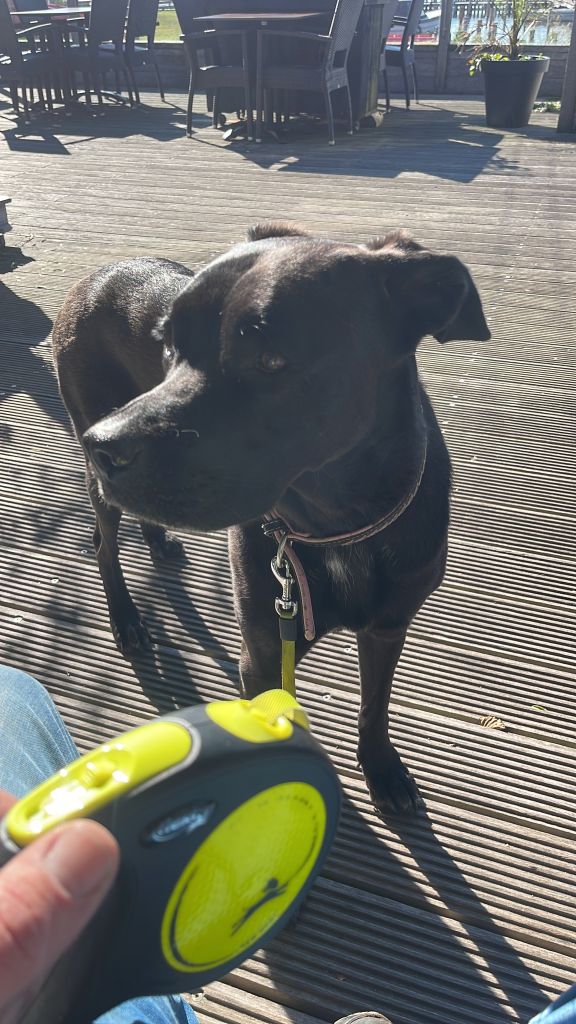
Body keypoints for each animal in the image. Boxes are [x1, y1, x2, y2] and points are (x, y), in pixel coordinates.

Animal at [52, 222, 490, 816]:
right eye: (168, 345)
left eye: (271, 360)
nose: (104, 447)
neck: (337, 526)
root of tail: (93, 276)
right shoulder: (260, 657)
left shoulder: (388, 625)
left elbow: (375, 706)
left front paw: (380, 766)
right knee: (103, 548)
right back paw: (126, 618)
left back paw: (159, 541)